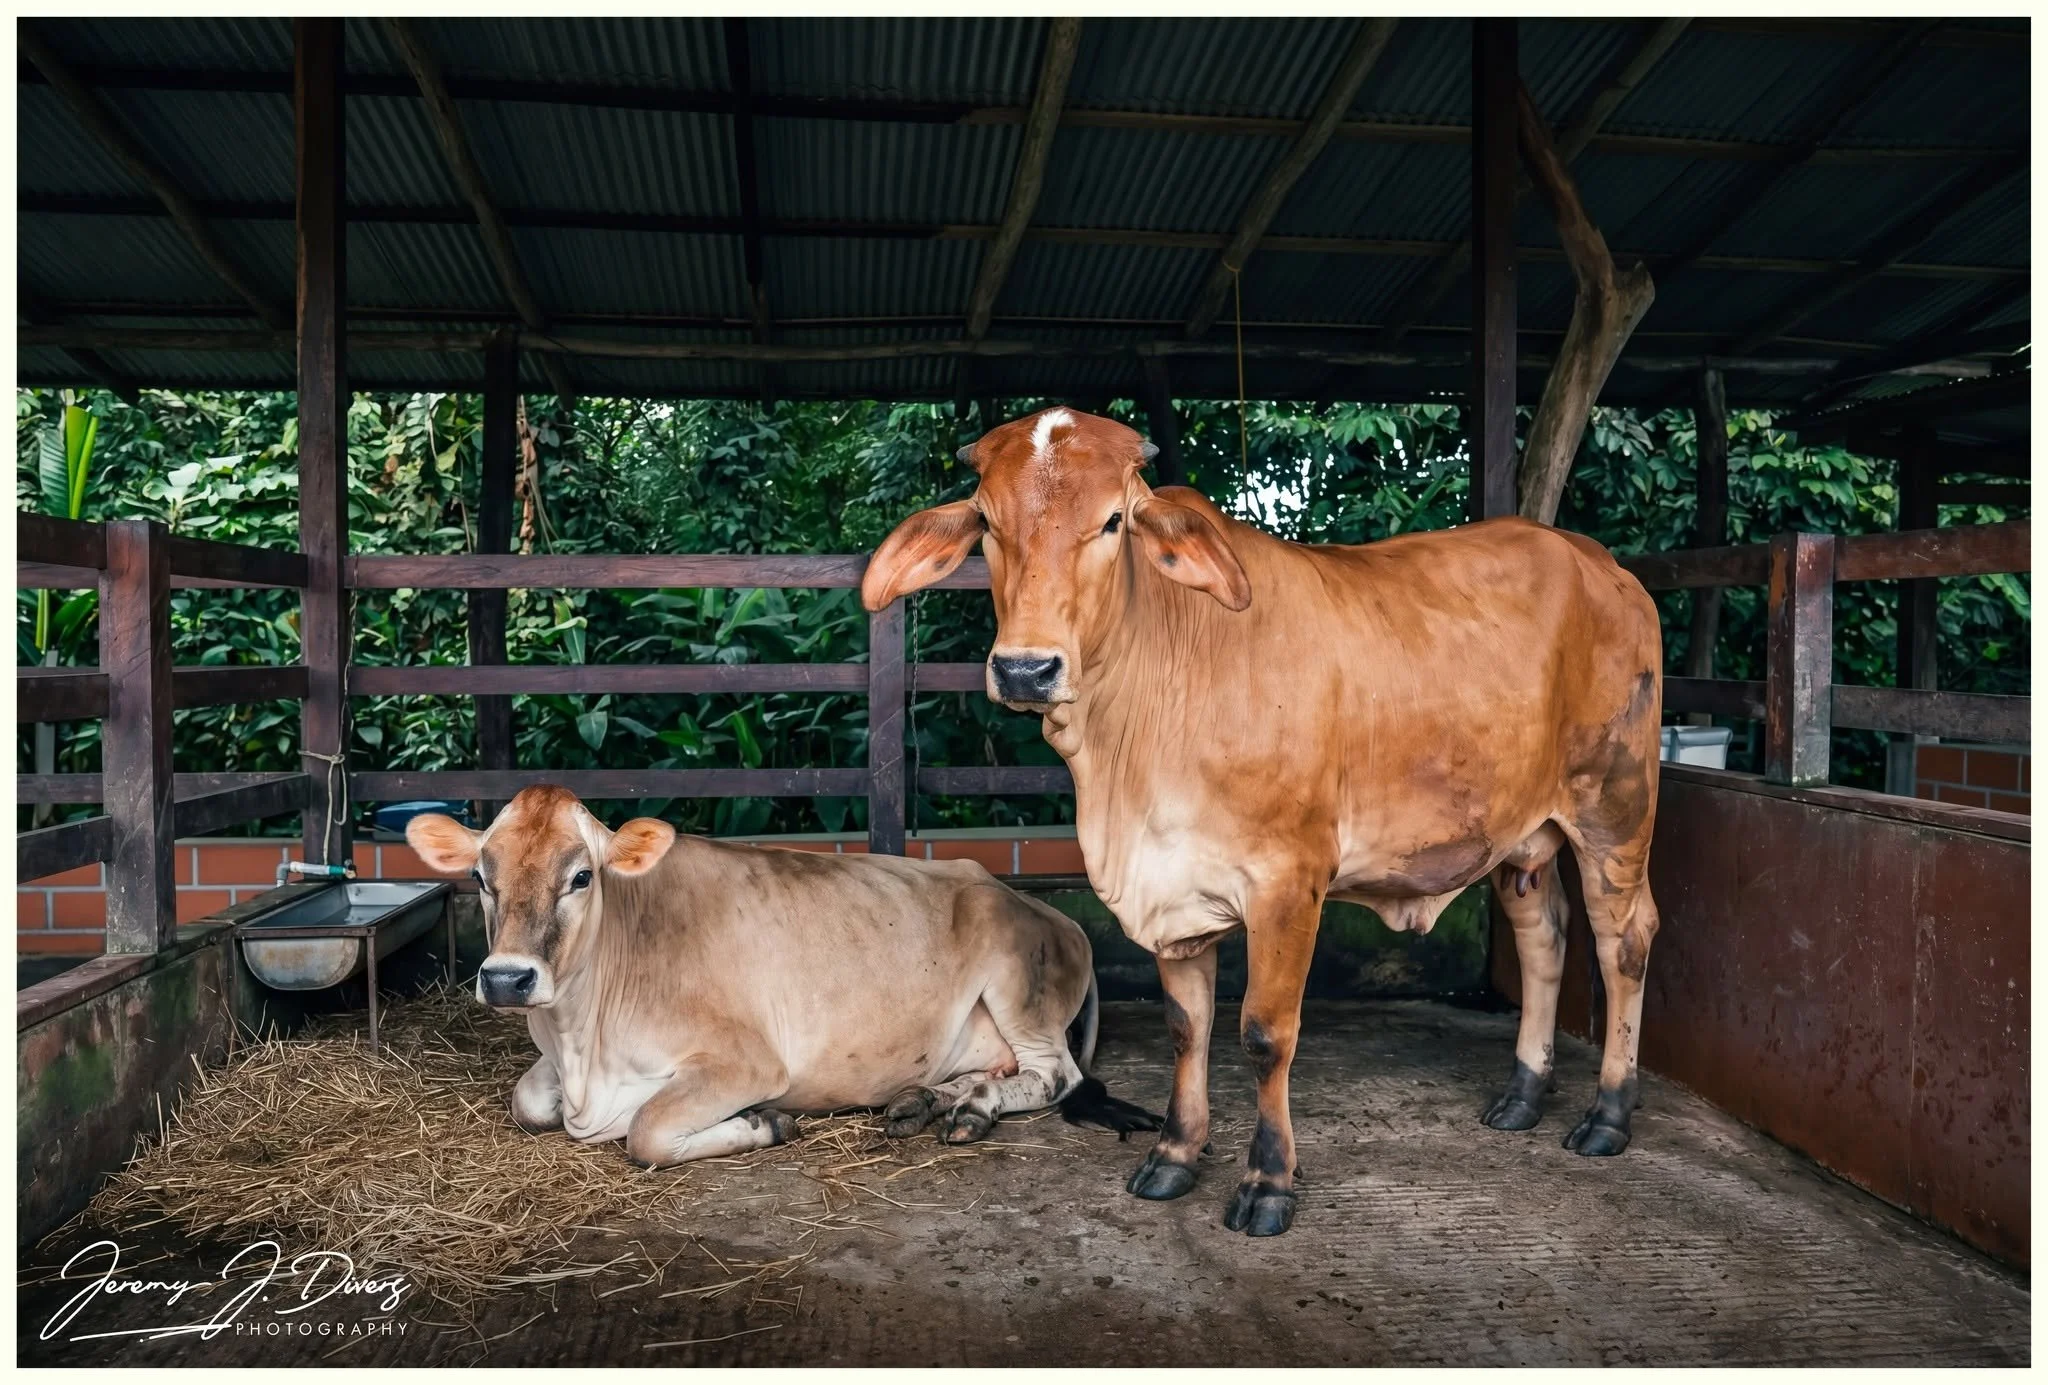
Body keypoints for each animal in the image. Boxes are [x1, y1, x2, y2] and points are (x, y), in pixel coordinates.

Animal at [405, 785, 1157, 1166]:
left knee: (1056, 1076)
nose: (508, 978)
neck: (580, 1044)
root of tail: (1034, 902)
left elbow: (647, 1132)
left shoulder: (745, 1061)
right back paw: (929, 1101)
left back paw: (969, 1110)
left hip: (1018, 985)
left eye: (582, 875)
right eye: (481, 876)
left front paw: (765, 1125)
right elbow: (528, 1102)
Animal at [860, 407, 1664, 1237]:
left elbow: (1264, 1032)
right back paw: (1522, 1093)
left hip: (1615, 807)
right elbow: (1188, 1027)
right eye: (987, 523)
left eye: (1113, 521)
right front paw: (1175, 1154)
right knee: (1544, 939)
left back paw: (1608, 1114)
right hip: (1522, 837)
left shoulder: (1288, 881)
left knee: (1624, 941)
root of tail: (1598, 560)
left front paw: (1268, 1178)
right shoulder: (1173, 890)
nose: (1026, 669)